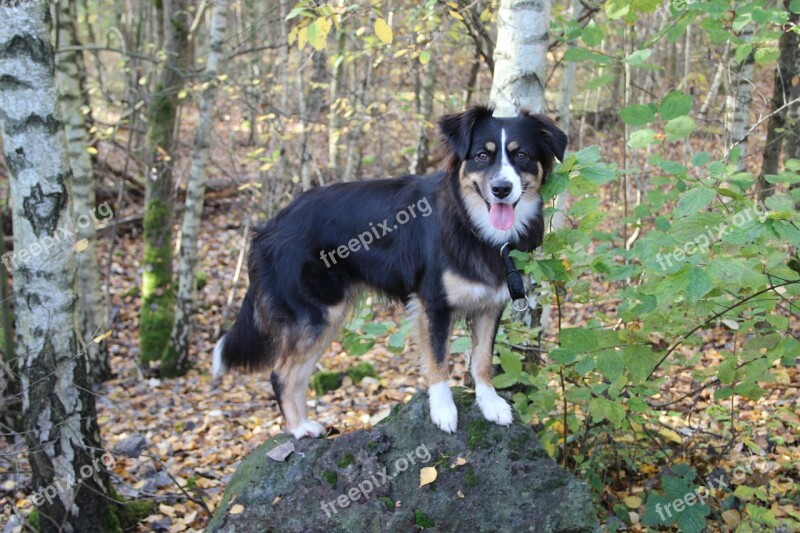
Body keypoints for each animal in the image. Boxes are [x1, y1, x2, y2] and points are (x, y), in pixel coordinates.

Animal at [212, 104, 568, 436]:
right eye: (482, 155)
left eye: (521, 155)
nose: (501, 189)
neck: (472, 223)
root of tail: (267, 229)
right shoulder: (433, 304)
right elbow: (438, 361)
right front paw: (443, 411)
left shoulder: (490, 305)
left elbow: (482, 360)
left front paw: (490, 404)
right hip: (315, 315)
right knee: (280, 373)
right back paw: (299, 428)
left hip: (326, 319)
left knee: (296, 374)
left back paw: (305, 426)